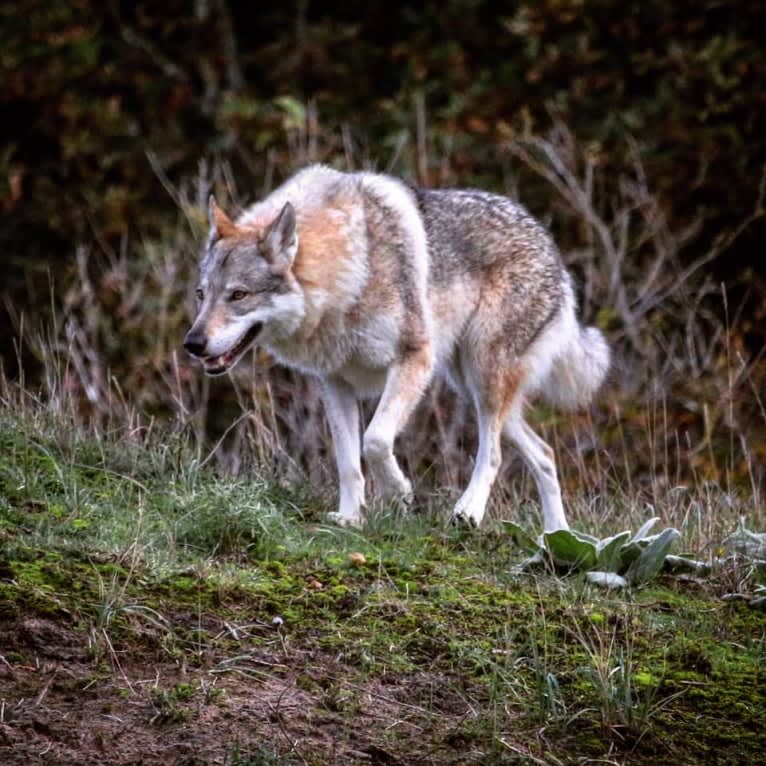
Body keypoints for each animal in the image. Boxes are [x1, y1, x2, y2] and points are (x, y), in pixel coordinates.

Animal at [183, 165, 608, 532]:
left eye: (238, 295)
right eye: (201, 295)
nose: (192, 343)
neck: (349, 275)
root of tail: (548, 245)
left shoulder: (413, 360)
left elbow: (375, 441)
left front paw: (397, 493)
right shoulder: (334, 383)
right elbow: (348, 462)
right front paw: (350, 518)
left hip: (484, 379)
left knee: (495, 454)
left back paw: (469, 512)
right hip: (470, 387)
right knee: (545, 454)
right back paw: (555, 538)